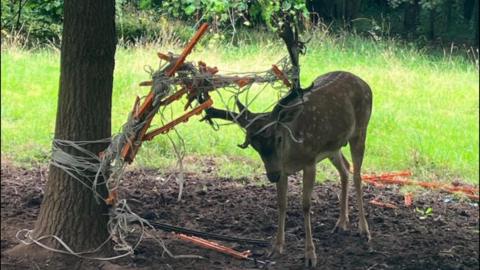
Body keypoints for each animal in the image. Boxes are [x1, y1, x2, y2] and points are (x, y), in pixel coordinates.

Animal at [201, 17, 374, 268]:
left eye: (278, 137)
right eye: (253, 144)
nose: (271, 174)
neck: (292, 155)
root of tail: (364, 83)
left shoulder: (310, 160)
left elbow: (305, 205)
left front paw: (310, 255)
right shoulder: (284, 168)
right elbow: (281, 203)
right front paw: (276, 247)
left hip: (360, 130)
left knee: (359, 174)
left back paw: (364, 229)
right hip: (332, 147)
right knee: (345, 169)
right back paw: (341, 223)